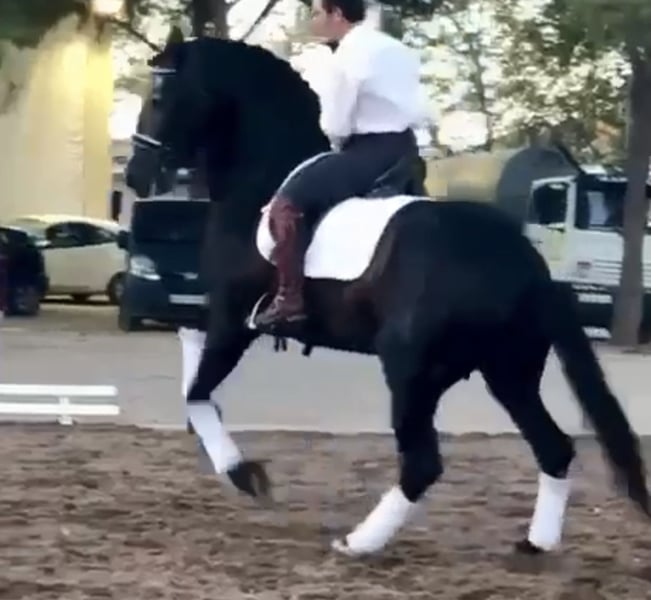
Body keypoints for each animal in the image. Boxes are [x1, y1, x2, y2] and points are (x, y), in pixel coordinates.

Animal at [125, 33, 650, 558]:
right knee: (553, 447)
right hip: (507, 372)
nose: (134, 175)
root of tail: (523, 264)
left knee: (423, 463)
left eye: (159, 96)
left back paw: (358, 542)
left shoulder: (234, 319)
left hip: (411, 370)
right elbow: (194, 374)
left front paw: (244, 475)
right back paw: (535, 544)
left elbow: (197, 395)